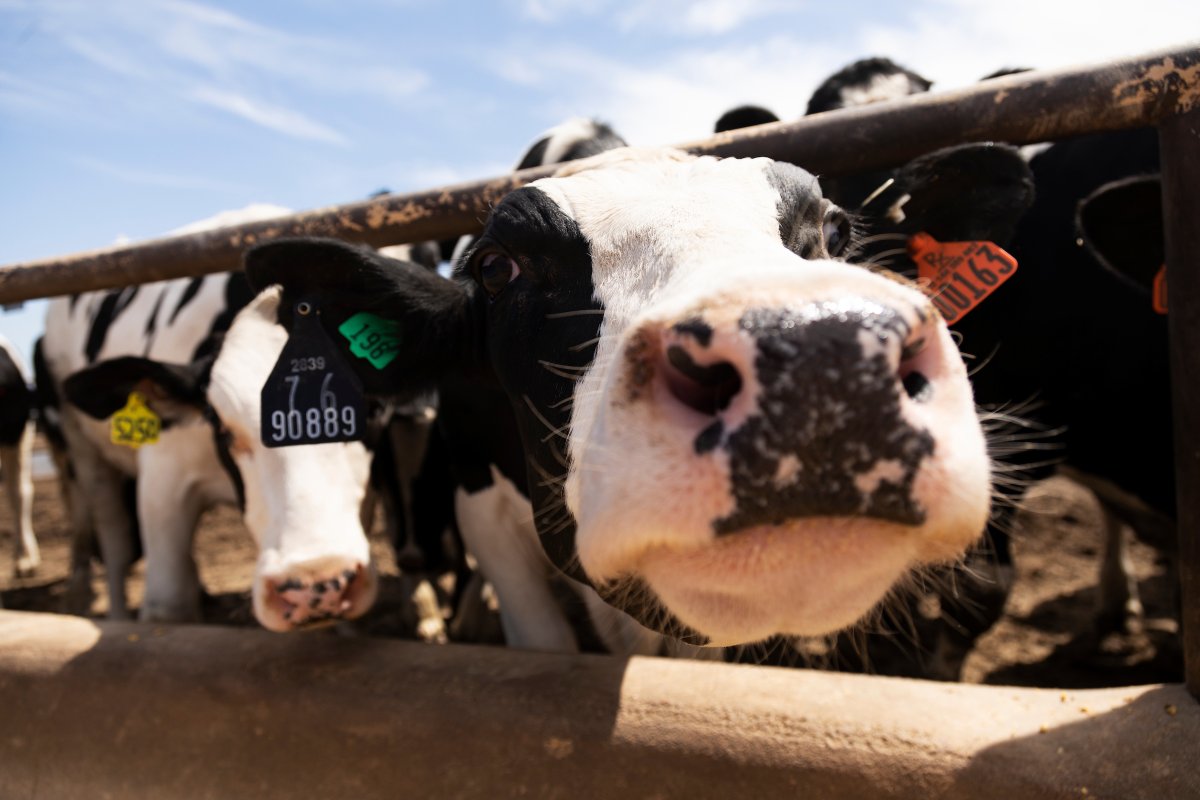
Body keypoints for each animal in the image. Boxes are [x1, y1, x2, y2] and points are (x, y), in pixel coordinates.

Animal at [39, 205, 381, 631]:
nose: (317, 583)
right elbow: (168, 605)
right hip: (84, 451)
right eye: (219, 424)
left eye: (370, 407)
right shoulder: (163, 480)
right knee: (113, 539)